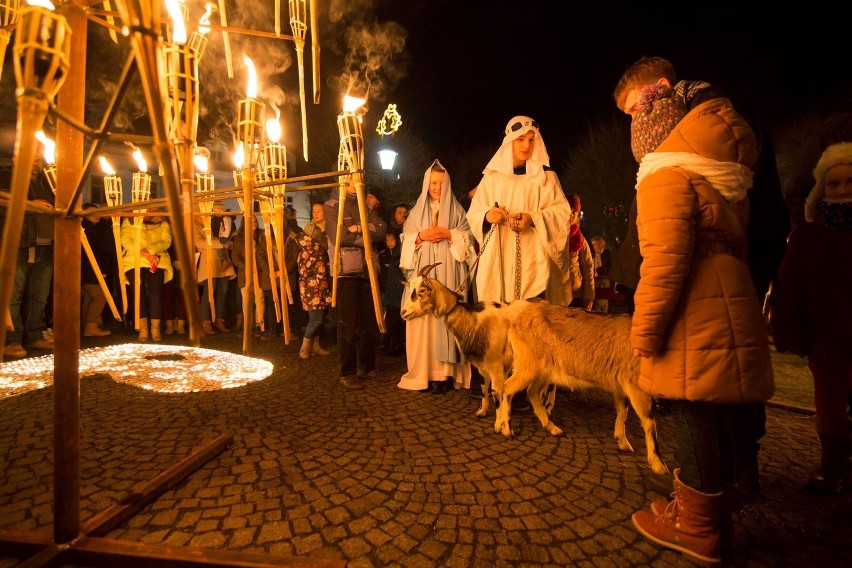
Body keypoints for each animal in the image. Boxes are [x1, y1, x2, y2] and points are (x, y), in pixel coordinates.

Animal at [502, 302, 668, 474]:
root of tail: (520, 315)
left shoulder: (620, 385)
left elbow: (623, 411)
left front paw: (623, 442)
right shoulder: (635, 384)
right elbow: (649, 421)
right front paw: (659, 465)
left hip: (543, 370)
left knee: (532, 392)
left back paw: (553, 428)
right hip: (529, 364)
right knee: (507, 387)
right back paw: (506, 429)